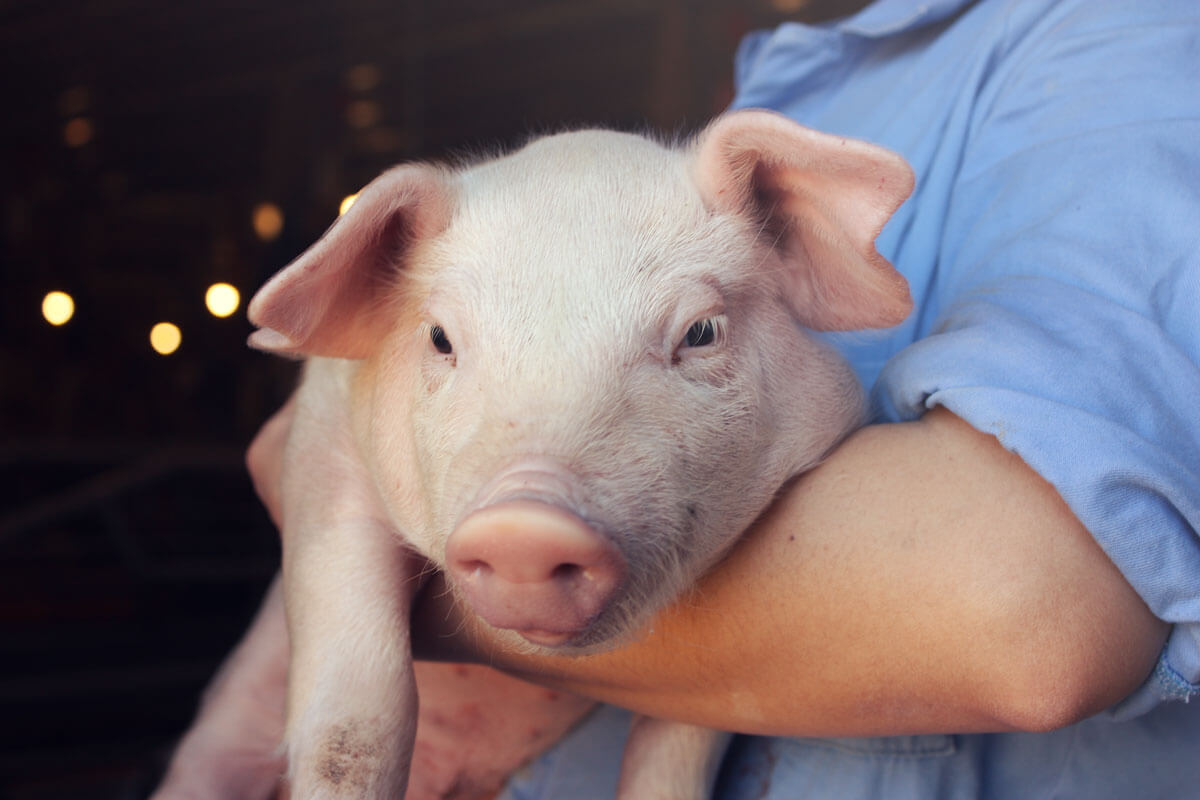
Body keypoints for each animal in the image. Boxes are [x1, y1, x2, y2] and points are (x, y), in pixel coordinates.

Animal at [246, 108, 913, 799]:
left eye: (700, 332)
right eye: (439, 339)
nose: (524, 528)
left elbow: (686, 734)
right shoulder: (321, 453)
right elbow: (354, 724)